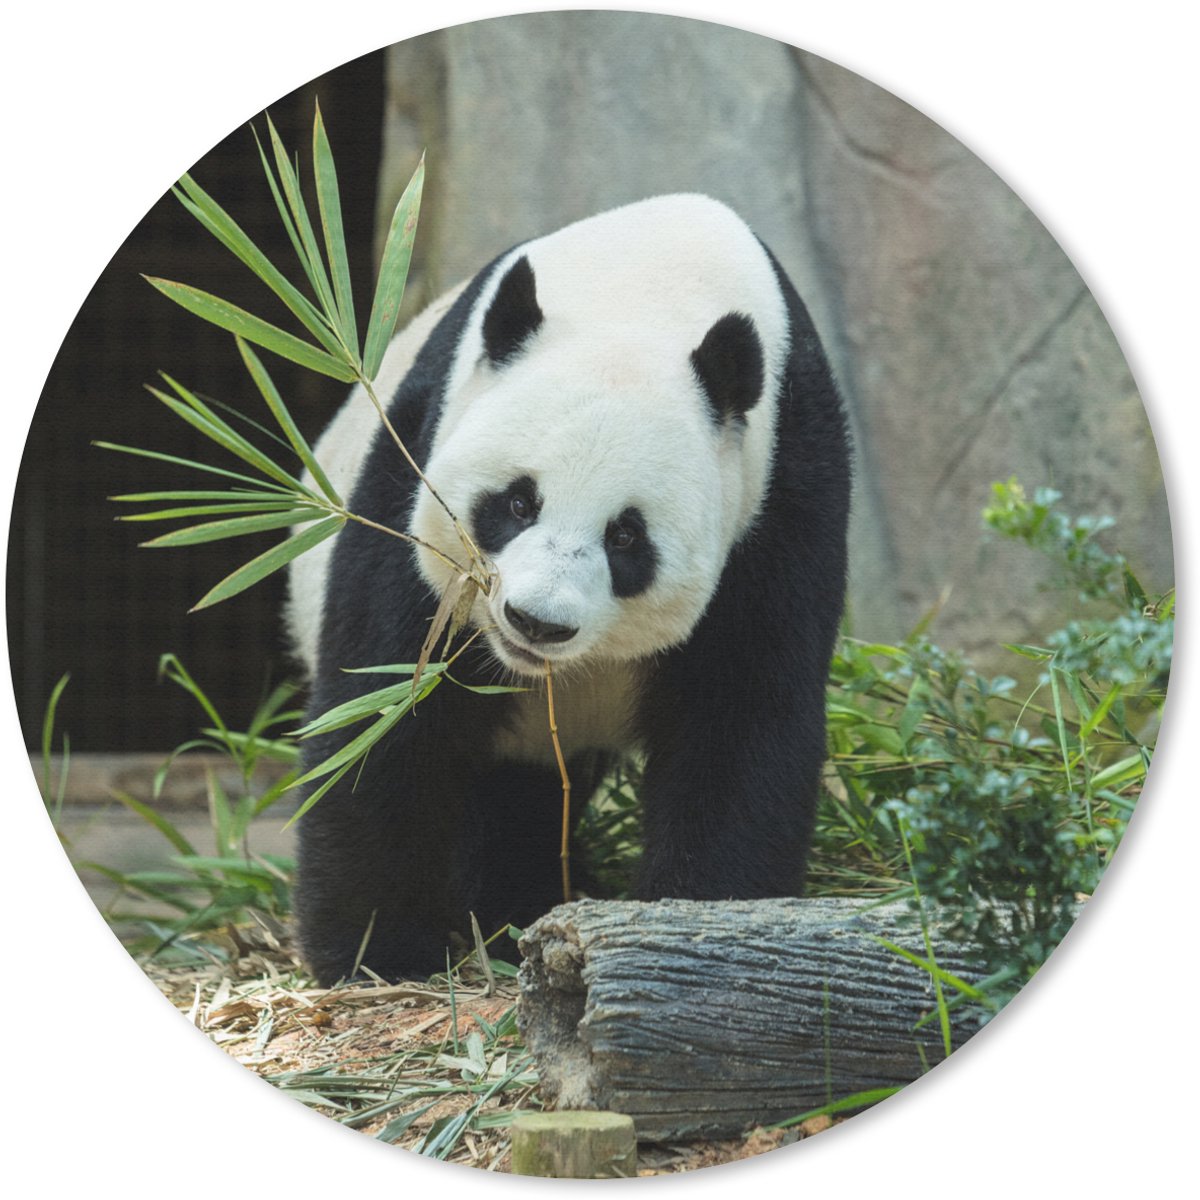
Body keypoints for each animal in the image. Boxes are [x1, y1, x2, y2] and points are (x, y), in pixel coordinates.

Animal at [287, 194, 851, 985]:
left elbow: (741, 720)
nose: (536, 622)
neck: (646, 286)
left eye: (627, 537)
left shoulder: (781, 494)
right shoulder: (416, 463)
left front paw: (705, 925)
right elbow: (387, 709)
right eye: (518, 502)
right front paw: (378, 953)